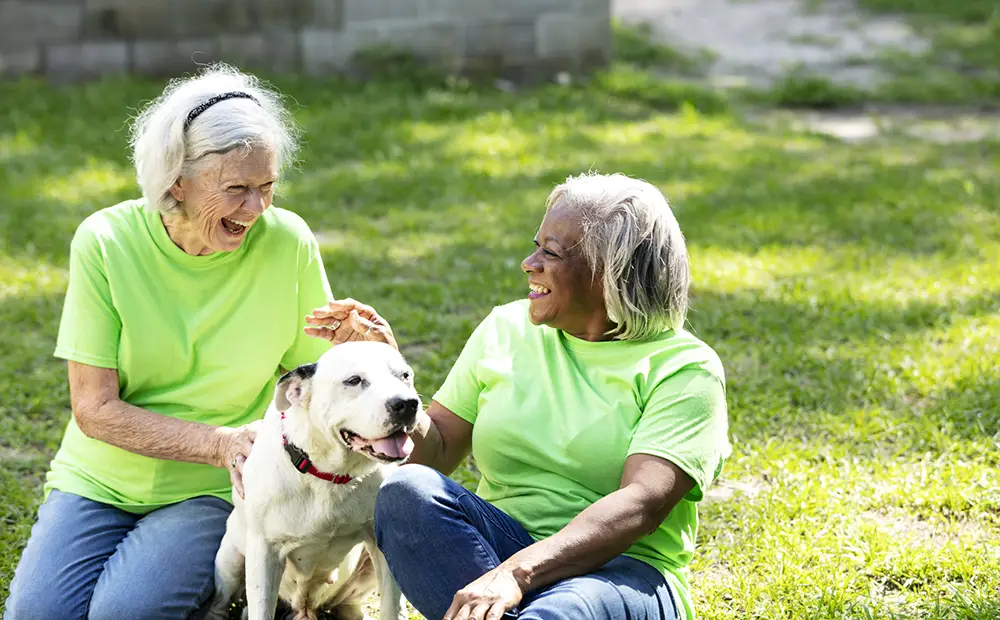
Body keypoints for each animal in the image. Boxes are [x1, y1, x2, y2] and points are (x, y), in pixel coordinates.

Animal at [207, 344, 418, 620]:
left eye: (405, 376)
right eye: (354, 380)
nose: (407, 404)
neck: (330, 475)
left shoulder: (380, 545)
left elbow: (392, 607)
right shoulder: (264, 554)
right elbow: (260, 608)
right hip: (231, 562)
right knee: (220, 603)